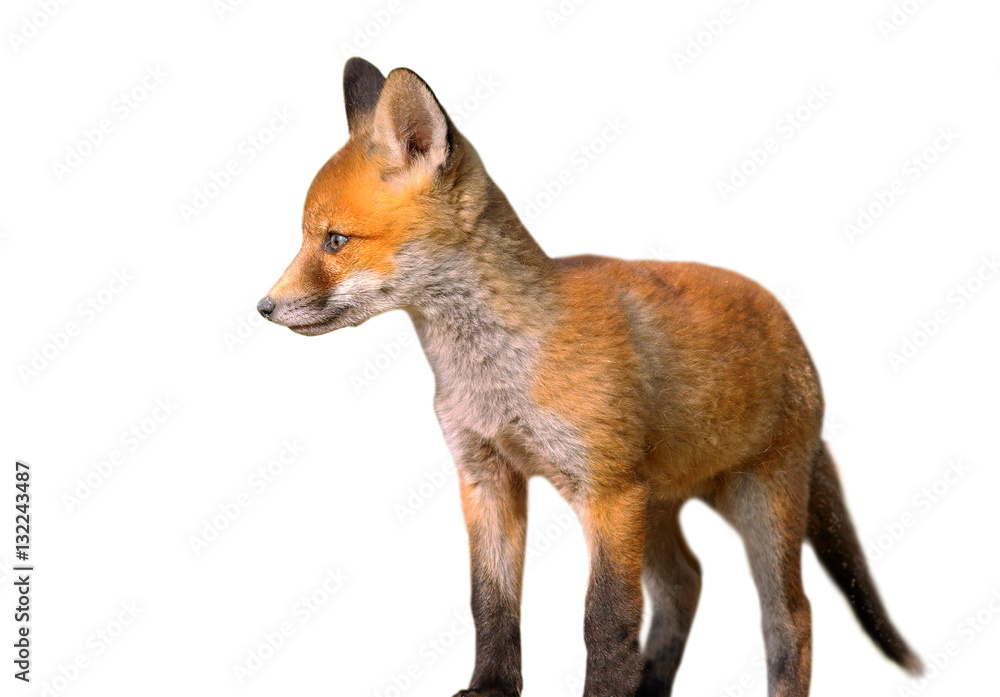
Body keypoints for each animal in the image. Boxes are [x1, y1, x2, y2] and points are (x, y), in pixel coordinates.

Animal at [257, 57, 922, 697]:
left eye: (335, 240)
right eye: (308, 237)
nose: (263, 307)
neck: (493, 375)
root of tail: (792, 329)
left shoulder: (606, 491)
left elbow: (605, 620)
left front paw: (602, 690)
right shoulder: (487, 477)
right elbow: (490, 604)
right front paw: (490, 688)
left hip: (760, 500)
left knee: (791, 615)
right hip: (659, 505)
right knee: (685, 582)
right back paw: (650, 687)